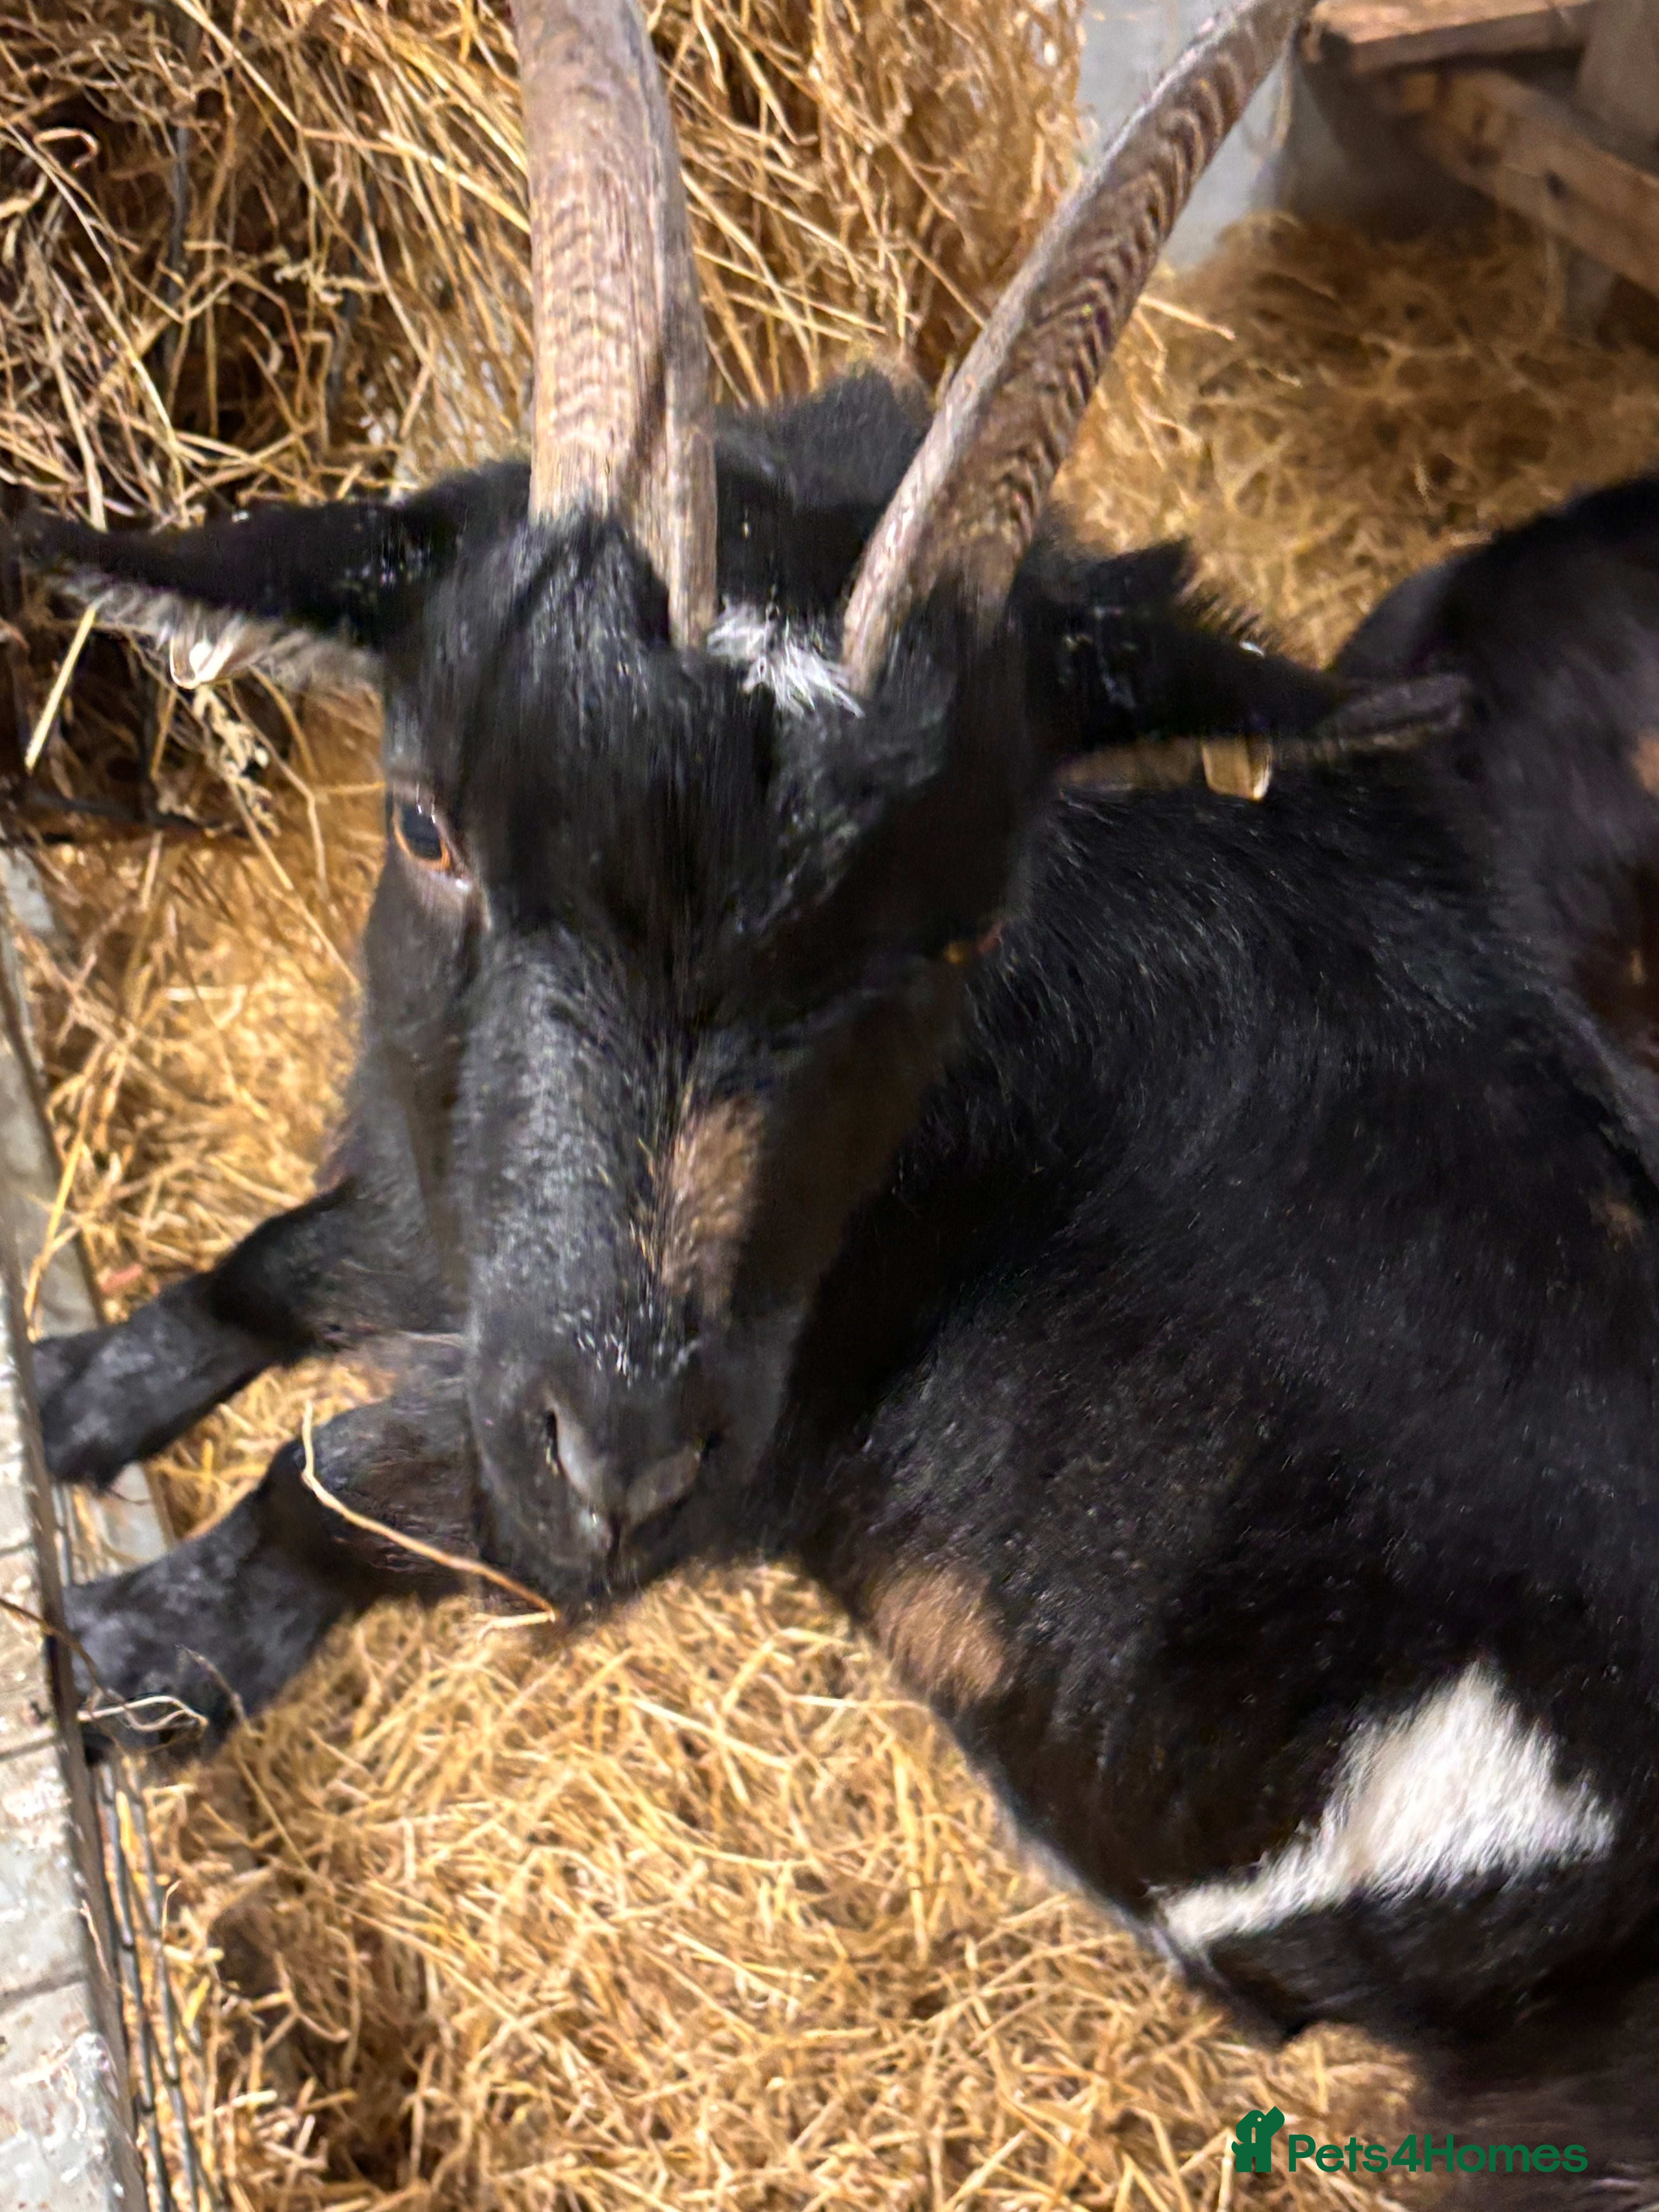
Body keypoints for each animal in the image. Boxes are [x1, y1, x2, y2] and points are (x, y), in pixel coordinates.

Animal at [19, 0, 1659, 2196]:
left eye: (964, 930)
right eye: (433, 827)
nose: (624, 1444)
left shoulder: (753, 1429)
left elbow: (339, 1484)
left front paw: (134, 1659)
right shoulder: (476, 1226)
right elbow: (287, 1260)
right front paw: (76, 1389)